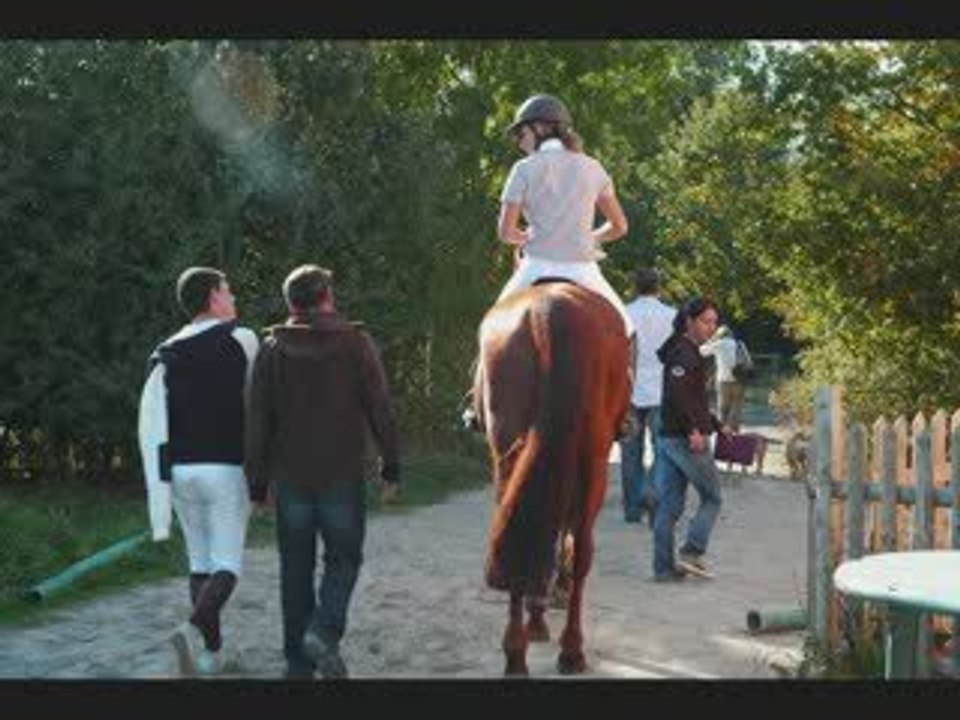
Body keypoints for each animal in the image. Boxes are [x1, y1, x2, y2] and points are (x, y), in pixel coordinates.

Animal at [471, 280, 630, 676]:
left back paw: (517, 653)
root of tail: (548, 311)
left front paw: (540, 611)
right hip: (594, 460)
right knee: (582, 549)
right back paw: (569, 647)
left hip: (506, 452)